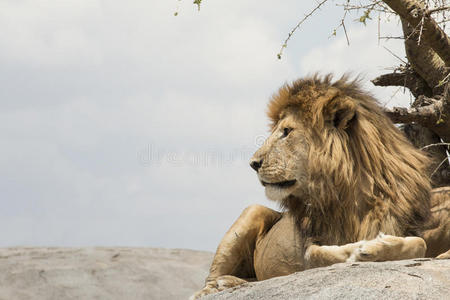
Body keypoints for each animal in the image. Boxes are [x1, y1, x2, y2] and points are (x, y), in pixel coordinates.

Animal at [191, 74, 450, 298]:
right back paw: (218, 285)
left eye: (286, 131)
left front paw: (376, 247)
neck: (351, 193)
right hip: (251, 212)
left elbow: (419, 243)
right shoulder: (310, 246)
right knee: (208, 281)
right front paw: (358, 250)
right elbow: (319, 254)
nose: (253, 163)